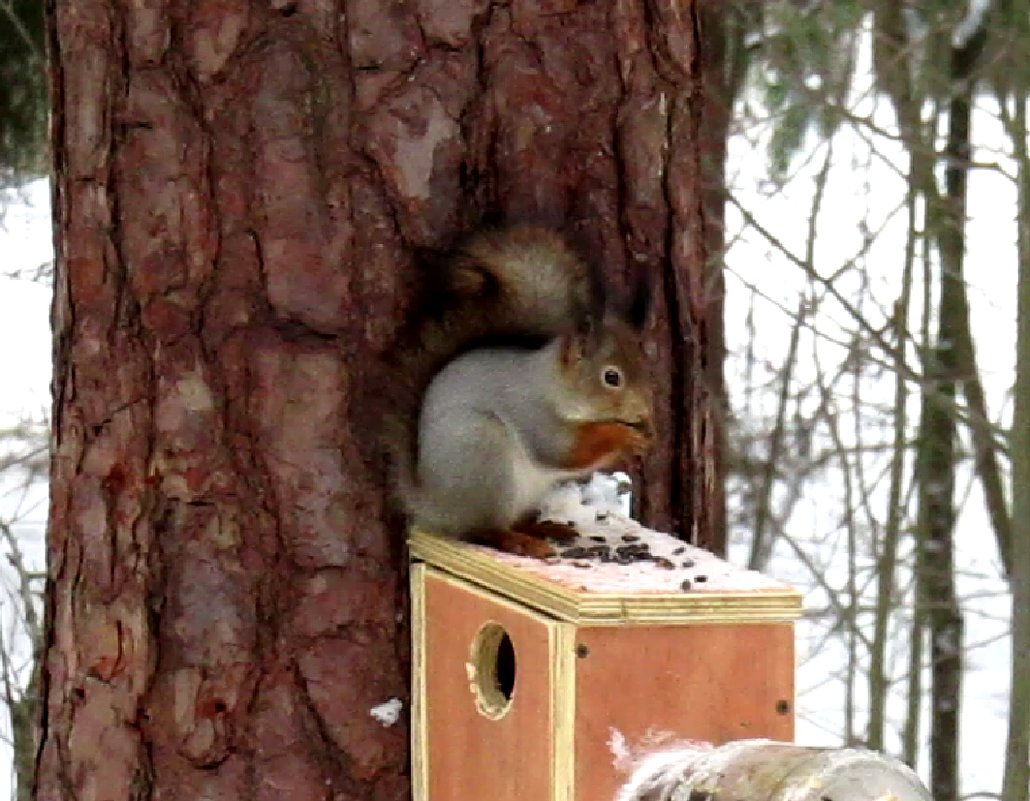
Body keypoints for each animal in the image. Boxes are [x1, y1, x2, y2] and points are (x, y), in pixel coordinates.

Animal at [389, 224, 655, 560]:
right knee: (484, 529)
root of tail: (434, 505)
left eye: (645, 366)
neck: (552, 386)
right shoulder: (533, 413)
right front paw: (623, 435)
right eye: (611, 377)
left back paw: (545, 528)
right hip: (483, 457)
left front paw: (646, 434)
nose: (644, 412)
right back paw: (520, 542)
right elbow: (563, 451)